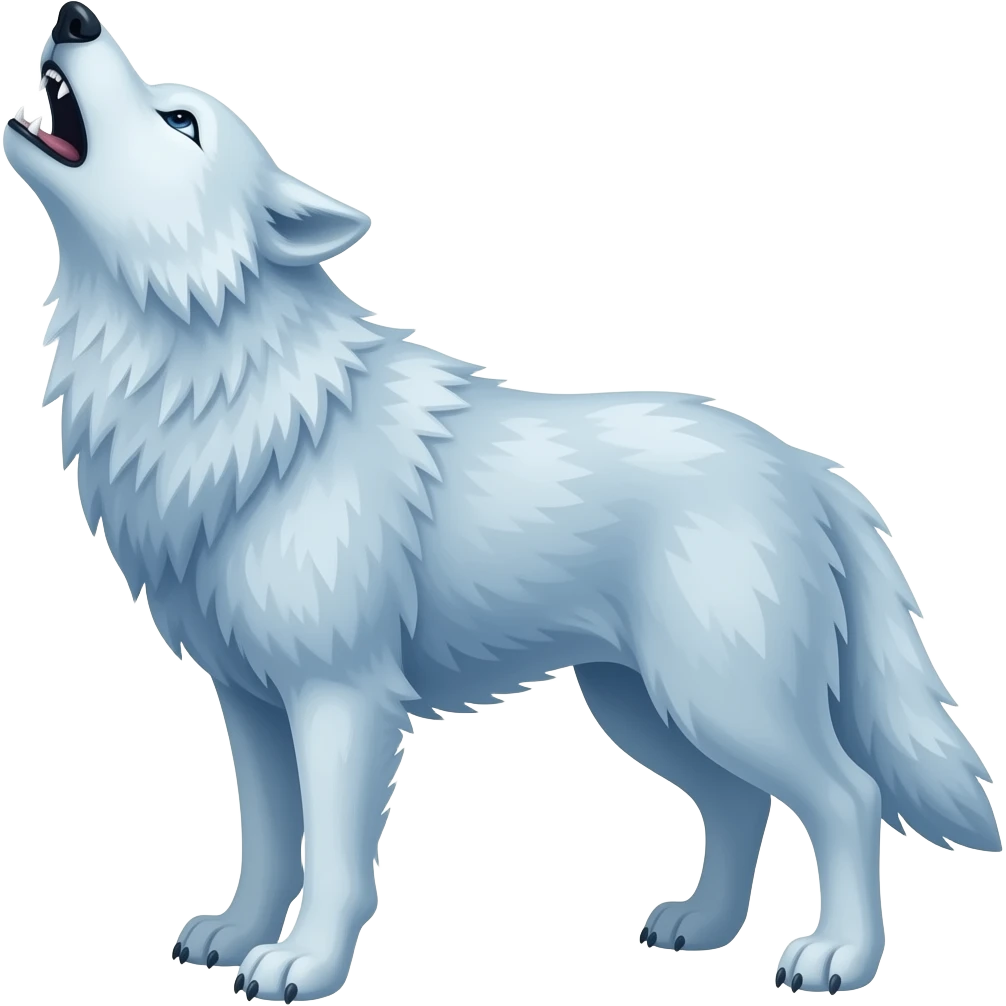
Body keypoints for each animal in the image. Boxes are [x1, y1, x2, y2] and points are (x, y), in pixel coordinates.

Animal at [6, 3, 1000, 1002]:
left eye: (182, 122)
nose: (74, 17)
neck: (224, 388)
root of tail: (810, 469)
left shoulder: (341, 698)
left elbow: (332, 860)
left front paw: (304, 964)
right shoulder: (248, 703)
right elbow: (271, 844)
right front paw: (238, 936)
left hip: (717, 699)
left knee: (847, 796)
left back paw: (838, 956)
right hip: (646, 708)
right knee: (741, 801)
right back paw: (706, 926)